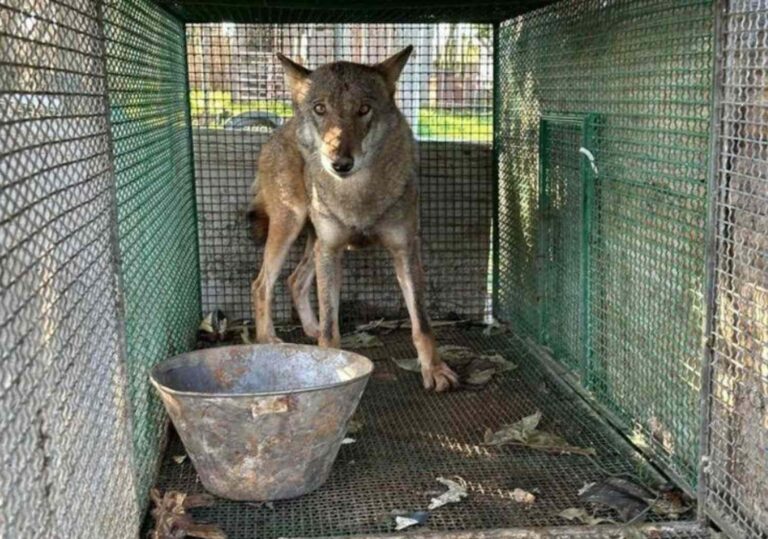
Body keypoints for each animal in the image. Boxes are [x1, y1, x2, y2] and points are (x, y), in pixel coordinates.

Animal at [247, 46, 458, 392]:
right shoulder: (332, 250)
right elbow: (331, 330)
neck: (358, 196)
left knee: (294, 280)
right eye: (320, 109)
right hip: (291, 227)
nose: (340, 163)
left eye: (363, 109)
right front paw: (328, 366)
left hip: (314, 243)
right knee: (262, 284)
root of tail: (280, 128)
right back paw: (269, 342)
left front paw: (436, 370)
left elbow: (422, 324)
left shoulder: (404, 249)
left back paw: (309, 330)